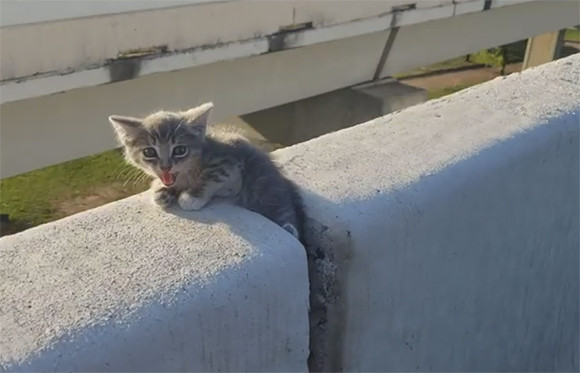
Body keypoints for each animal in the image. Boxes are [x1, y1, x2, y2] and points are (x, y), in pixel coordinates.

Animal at [110, 102, 306, 241]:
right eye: (149, 152)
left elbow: (210, 176)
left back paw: (289, 227)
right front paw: (161, 190)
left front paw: (192, 196)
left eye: (180, 150)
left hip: (261, 184)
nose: (166, 166)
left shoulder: (228, 162)